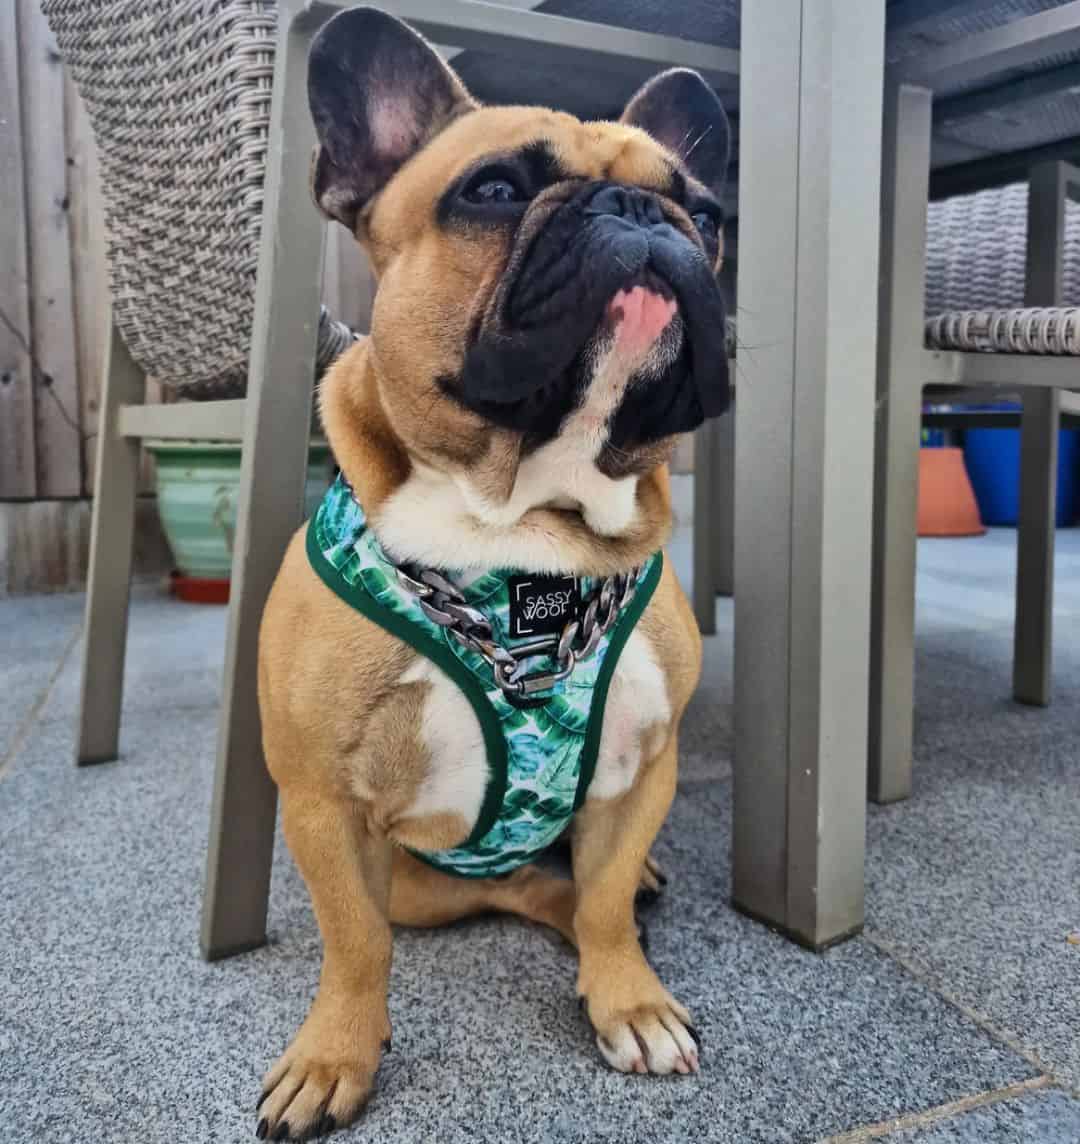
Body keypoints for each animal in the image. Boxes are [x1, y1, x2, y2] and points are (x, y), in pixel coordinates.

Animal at [253, 8, 727, 1134]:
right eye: (497, 190)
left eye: (707, 214)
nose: (644, 211)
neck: (523, 528)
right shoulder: (323, 805)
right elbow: (354, 945)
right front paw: (334, 1055)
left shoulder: (647, 767)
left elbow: (604, 901)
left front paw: (630, 996)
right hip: (421, 881)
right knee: (518, 891)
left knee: (584, 889)